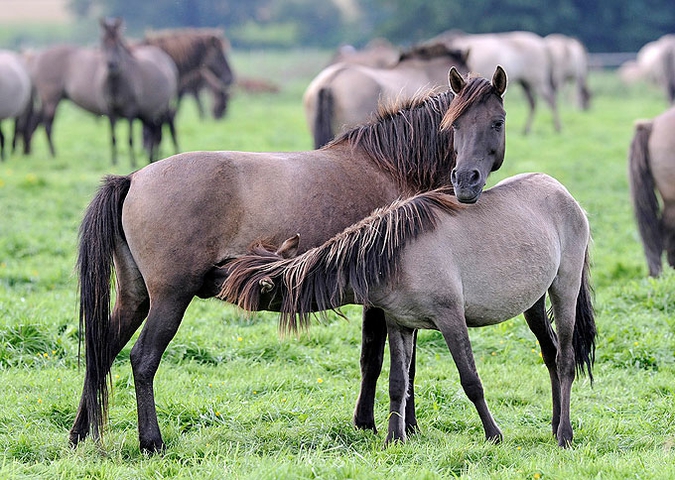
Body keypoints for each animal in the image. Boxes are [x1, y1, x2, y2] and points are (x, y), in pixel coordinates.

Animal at [71, 66, 510, 454]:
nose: (465, 181)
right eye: (454, 126)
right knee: (142, 359)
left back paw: (79, 434)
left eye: (497, 122)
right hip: (169, 298)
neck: (390, 167)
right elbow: (381, 360)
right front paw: (379, 424)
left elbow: (393, 361)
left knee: (101, 352)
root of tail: (133, 179)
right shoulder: (384, 300)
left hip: (136, 298)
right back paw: (151, 442)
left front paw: (391, 425)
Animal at [222, 172, 596, 446]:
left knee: (565, 360)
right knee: (549, 354)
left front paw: (494, 435)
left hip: (564, 289)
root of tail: (563, 192)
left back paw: (565, 435)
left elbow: (471, 380)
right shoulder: (400, 324)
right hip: (533, 303)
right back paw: (555, 424)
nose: (219, 286)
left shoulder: (451, 319)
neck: (395, 254)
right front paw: (394, 438)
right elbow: (397, 382)